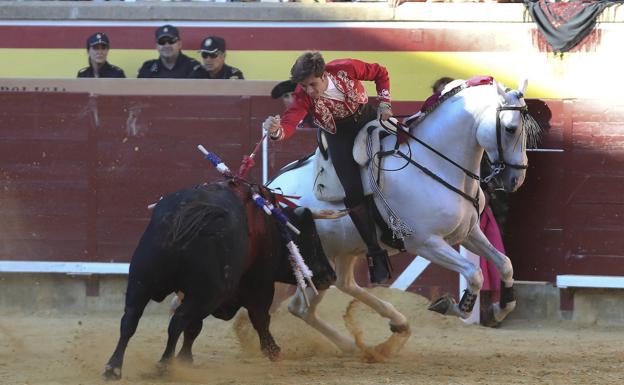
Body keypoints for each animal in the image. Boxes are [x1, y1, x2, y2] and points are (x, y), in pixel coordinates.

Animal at [102, 181, 336, 378]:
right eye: (312, 236)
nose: (331, 275)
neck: (272, 227)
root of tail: (189, 213)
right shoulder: (260, 284)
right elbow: (260, 318)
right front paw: (273, 351)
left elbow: (194, 328)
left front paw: (185, 359)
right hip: (207, 294)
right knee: (176, 321)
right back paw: (164, 366)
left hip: (141, 281)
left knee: (130, 319)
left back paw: (113, 368)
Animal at [268, 76, 540, 352]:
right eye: (510, 128)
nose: (516, 179)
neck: (433, 161)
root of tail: (269, 190)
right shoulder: (425, 243)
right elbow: (474, 273)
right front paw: (451, 306)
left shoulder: (468, 233)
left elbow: (504, 264)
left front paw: (499, 310)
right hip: (320, 259)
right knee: (302, 305)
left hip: (342, 252)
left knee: (327, 293)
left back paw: (382, 333)